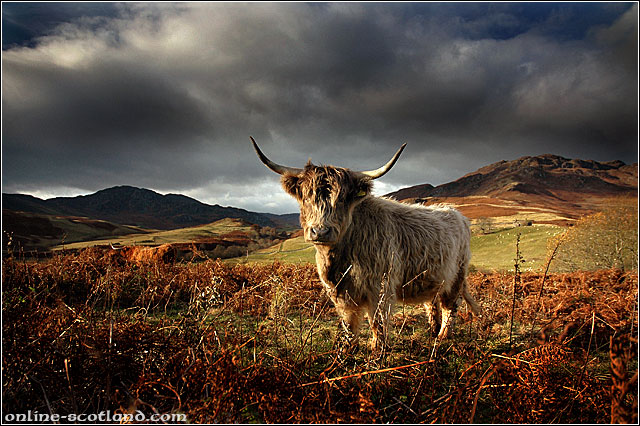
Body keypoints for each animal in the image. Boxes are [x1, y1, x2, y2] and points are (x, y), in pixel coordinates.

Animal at [251, 137, 480, 350]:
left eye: (342, 199)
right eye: (307, 197)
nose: (321, 231)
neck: (340, 257)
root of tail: (457, 214)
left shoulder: (380, 285)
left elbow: (377, 320)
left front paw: (377, 348)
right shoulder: (339, 291)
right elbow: (349, 322)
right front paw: (347, 348)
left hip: (456, 276)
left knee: (450, 306)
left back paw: (442, 336)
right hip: (433, 278)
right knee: (431, 304)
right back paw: (433, 332)